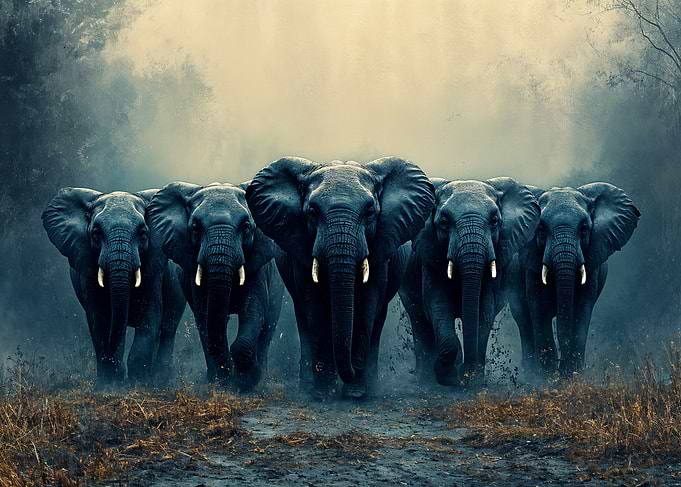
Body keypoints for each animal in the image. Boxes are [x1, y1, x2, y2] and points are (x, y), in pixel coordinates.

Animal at [42, 189, 186, 386]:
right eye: (96, 233)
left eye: (143, 234)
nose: (117, 370)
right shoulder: (87, 269)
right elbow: (99, 319)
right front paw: (109, 383)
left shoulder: (153, 267)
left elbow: (149, 315)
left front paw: (138, 382)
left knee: (168, 327)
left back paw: (160, 380)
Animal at [146, 182, 285, 390]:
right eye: (195, 228)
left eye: (246, 227)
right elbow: (205, 315)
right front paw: (224, 382)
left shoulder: (257, 263)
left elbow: (254, 309)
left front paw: (246, 381)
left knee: (268, 327)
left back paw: (263, 380)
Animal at [246, 156, 435, 399]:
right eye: (312, 213)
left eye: (369, 212)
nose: (350, 372)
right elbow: (315, 307)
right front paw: (323, 395)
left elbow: (366, 307)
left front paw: (355, 394)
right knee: (304, 318)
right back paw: (309, 386)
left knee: (377, 318)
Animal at [399, 178, 540, 386]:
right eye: (444, 222)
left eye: (494, 221)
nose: (464, 377)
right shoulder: (430, 256)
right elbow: (438, 306)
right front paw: (450, 377)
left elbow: (484, 310)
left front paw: (473, 380)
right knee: (420, 320)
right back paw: (425, 379)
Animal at [508, 183, 640, 377]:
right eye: (540, 231)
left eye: (584, 229)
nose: (560, 365)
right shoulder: (531, 267)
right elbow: (539, 310)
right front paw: (548, 376)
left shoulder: (592, 265)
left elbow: (581, 312)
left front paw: (571, 375)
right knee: (524, 320)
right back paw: (530, 372)